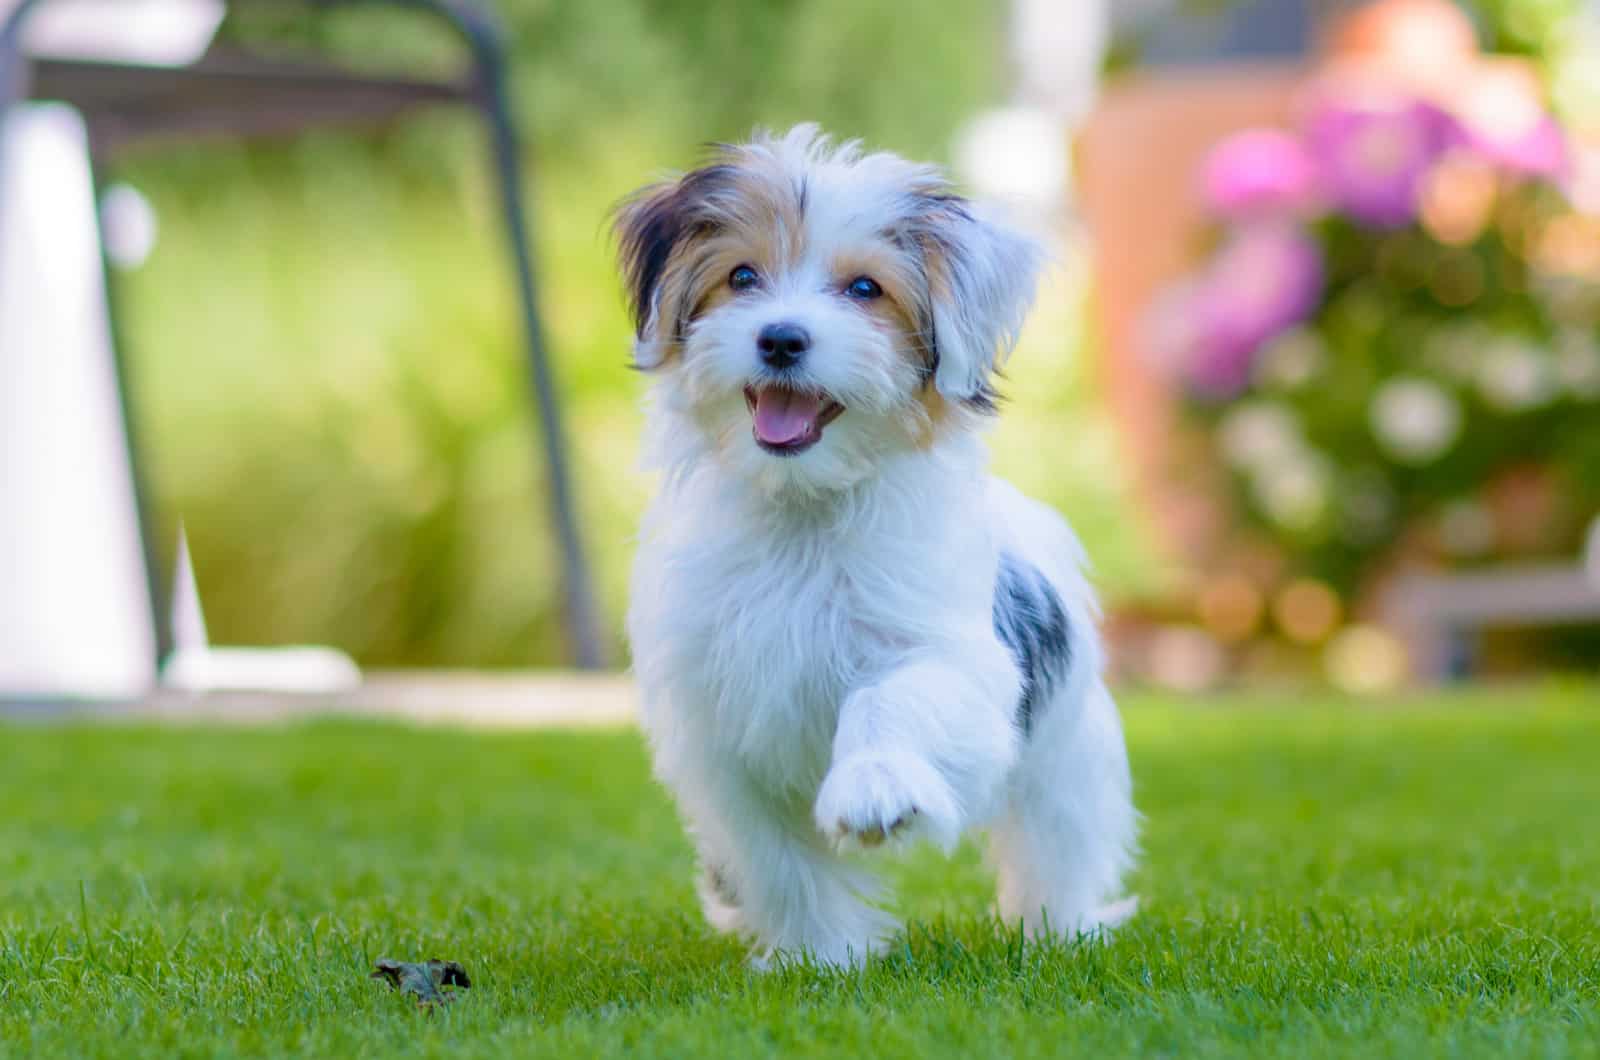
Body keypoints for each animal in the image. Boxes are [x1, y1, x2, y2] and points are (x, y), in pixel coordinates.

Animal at [611, 124, 1139, 973]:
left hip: (1068, 747)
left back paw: (1059, 929)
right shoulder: (717, 728)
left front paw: (874, 787)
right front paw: (817, 955)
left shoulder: (947, 654)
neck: (804, 507)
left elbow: (889, 696)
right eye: (742, 276)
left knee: (1059, 836)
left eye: (866, 290)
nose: (781, 338)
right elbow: (776, 856)